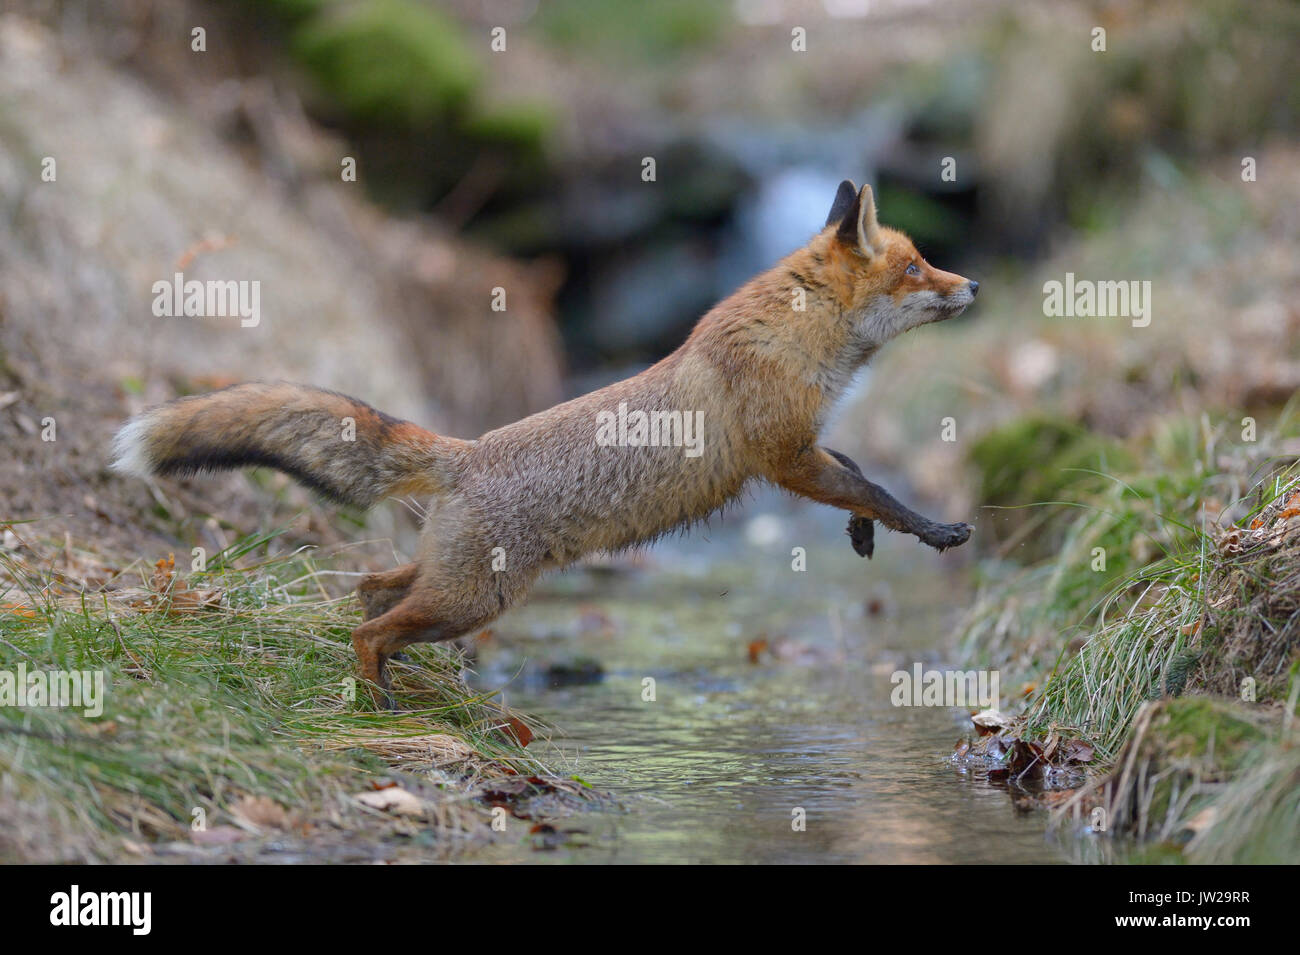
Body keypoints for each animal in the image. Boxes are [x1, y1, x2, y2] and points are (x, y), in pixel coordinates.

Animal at [114, 180, 977, 701]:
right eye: (914, 265)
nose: (973, 285)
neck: (792, 335)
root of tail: (466, 452)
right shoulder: (783, 452)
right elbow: (877, 485)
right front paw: (933, 530)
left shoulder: (803, 446)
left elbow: (859, 473)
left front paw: (864, 532)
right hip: (474, 597)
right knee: (369, 624)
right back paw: (377, 695)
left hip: (449, 581)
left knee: (370, 587)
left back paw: (399, 673)